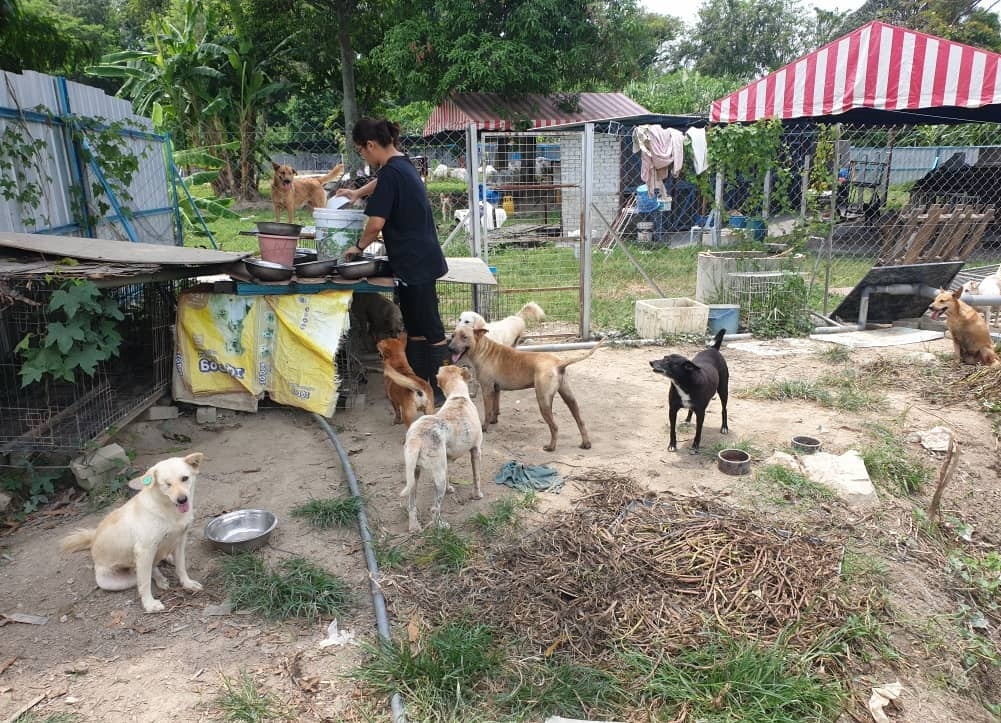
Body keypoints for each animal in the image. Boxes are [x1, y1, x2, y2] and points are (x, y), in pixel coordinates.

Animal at [60, 452, 205, 612]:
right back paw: (160, 578)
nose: (182, 500)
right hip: (115, 579)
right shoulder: (144, 550)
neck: (169, 511)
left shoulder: (180, 540)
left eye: (185, 478)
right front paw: (149, 604)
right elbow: (145, 583)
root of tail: (94, 539)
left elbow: (181, 567)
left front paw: (187, 583)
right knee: (145, 573)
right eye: (167, 484)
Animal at [448, 324, 600, 448]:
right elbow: (495, 408)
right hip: (569, 397)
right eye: (453, 335)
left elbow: (488, 411)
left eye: (464, 337)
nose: (450, 348)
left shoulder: (487, 389)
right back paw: (586, 443)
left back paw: (551, 447)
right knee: (580, 421)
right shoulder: (496, 389)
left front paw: (485, 426)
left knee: (554, 427)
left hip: (543, 401)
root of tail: (559, 363)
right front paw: (494, 421)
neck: (483, 349)